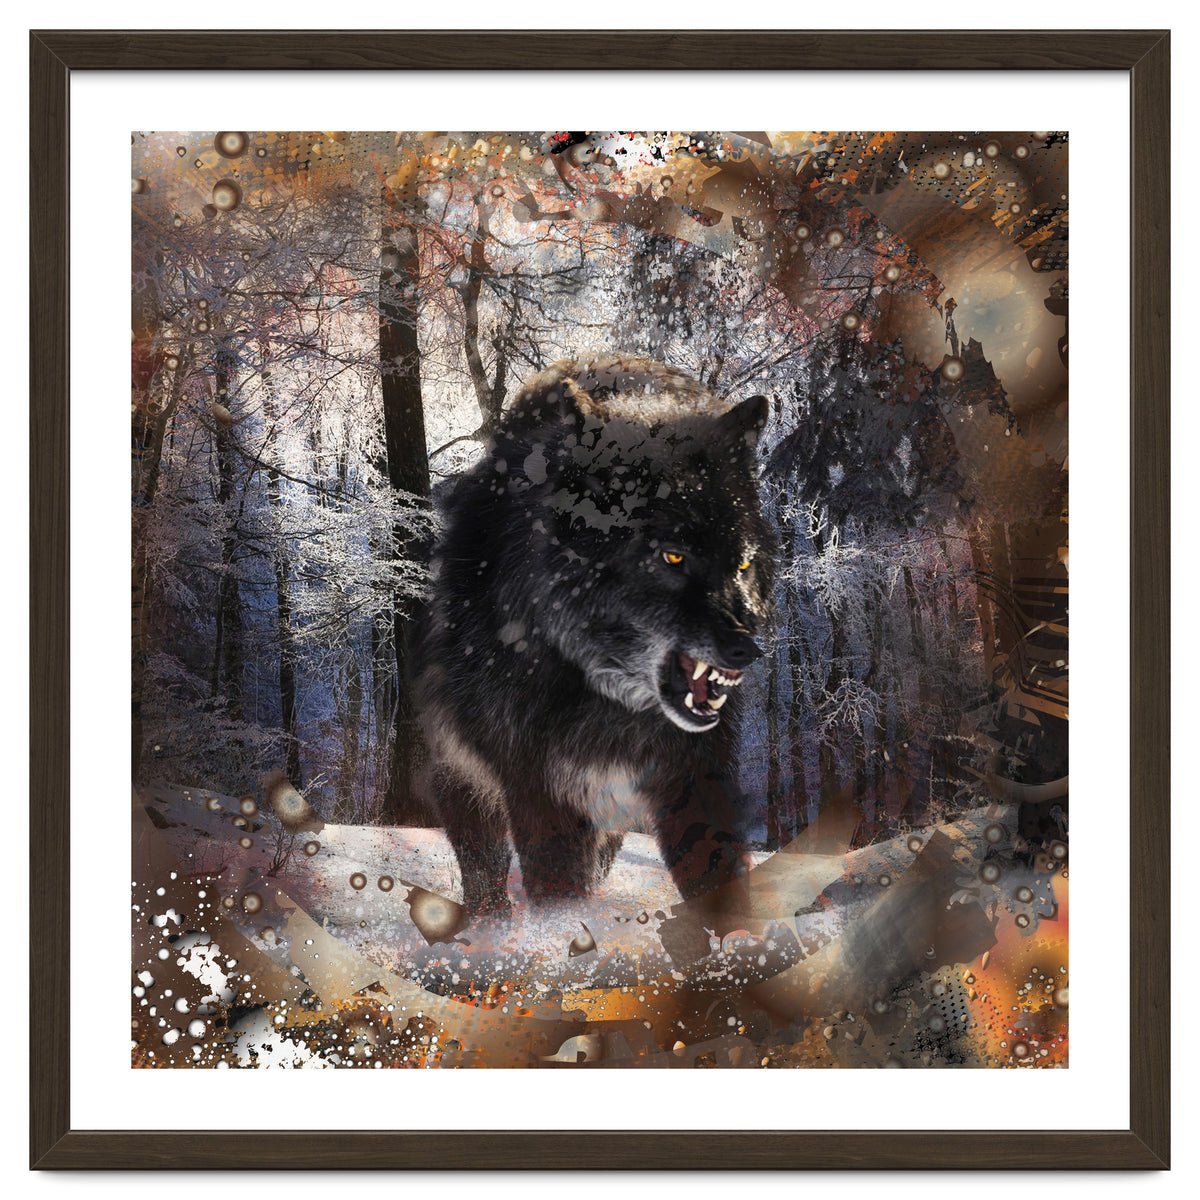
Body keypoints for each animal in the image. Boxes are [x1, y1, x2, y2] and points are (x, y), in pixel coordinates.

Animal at [410, 355, 776, 914]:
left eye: (741, 564)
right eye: (673, 556)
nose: (746, 650)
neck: (614, 702)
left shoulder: (694, 779)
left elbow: (721, 887)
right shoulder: (541, 792)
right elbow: (557, 895)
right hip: (466, 785)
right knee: (485, 878)